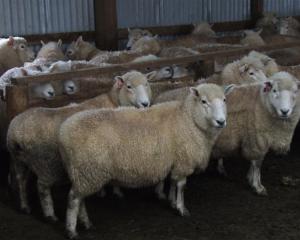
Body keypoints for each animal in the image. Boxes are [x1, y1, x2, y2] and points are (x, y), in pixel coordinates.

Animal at [7, 70, 155, 222]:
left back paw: (24, 206)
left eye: (146, 84)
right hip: (44, 162)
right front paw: (114, 191)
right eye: (129, 86)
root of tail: (15, 131)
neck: (113, 101)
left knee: (20, 180)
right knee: (42, 188)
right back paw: (50, 214)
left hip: (18, 160)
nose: (145, 104)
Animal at [57, 82, 233, 238]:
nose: (221, 122)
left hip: (82, 174)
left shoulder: (175, 160)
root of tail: (63, 132)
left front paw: (171, 201)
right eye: (204, 101)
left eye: (224, 100)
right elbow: (181, 186)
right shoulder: (184, 161)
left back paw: (86, 223)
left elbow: (172, 182)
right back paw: (71, 230)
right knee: (73, 199)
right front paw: (181, 208)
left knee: (80, 200)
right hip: (87, 171)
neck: (189, 119)